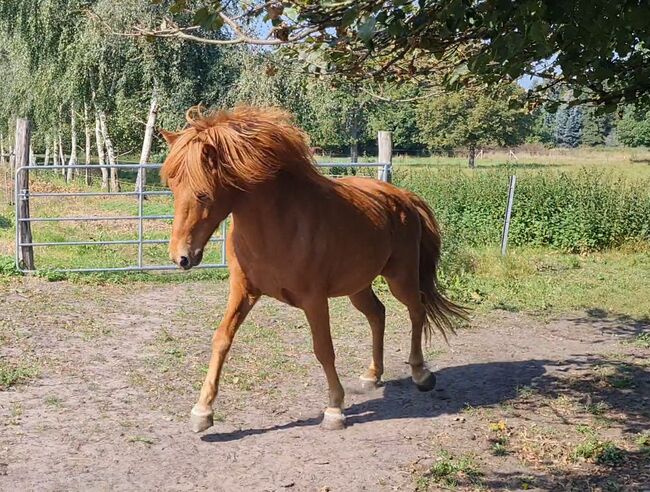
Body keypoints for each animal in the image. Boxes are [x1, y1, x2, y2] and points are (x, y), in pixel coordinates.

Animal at [161, 106, 466, 430]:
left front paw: (334, 409)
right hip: (358, 286)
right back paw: (372, 375)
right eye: (172, 188)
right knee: (377, 315)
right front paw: (202, 411)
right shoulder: (243, 291)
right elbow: (221, 339)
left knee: (416, 311)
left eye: (203, 194)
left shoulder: (314, 300)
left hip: (401, 278)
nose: (181, 257)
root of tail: (403, 197)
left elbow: (323, 349)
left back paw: (421, 374)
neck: (278, 227)